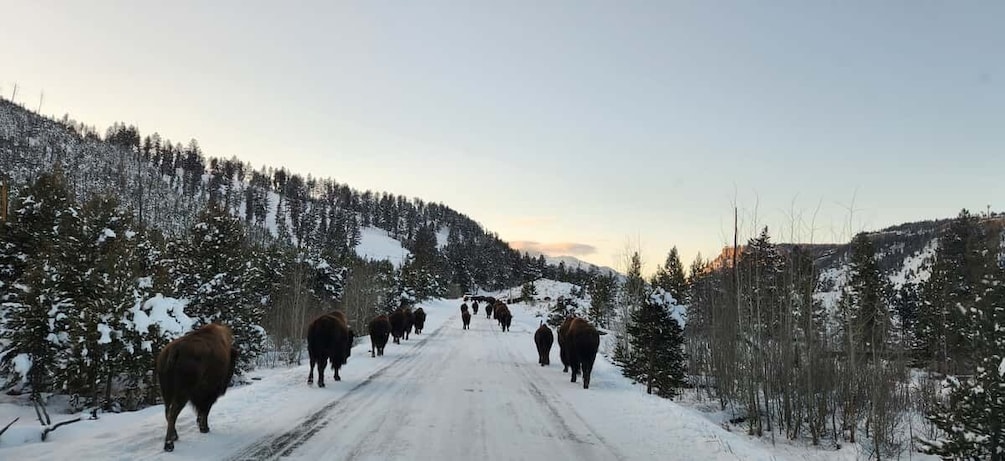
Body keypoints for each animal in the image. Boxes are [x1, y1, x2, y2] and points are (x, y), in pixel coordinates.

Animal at [154, 323, 237, 453]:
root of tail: (174, 350)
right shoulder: (209, 394)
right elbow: (205, 411)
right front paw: (205, 428)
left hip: (166, 392)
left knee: (167, 411)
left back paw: (174, 437)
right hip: (182, 394)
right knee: (173, 413)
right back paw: (169, 445)